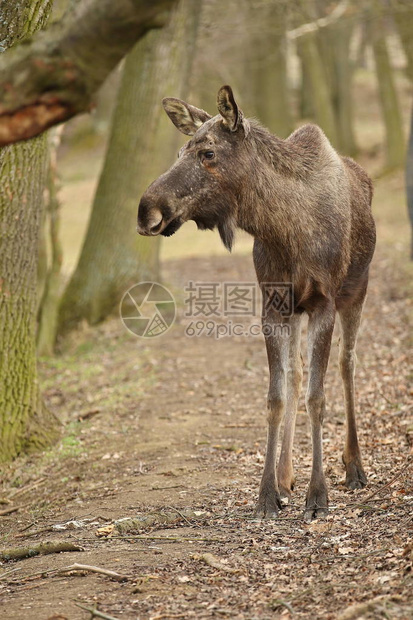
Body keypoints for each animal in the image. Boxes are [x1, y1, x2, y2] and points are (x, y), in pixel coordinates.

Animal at [137, 85, 374, 520]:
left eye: (208, 152)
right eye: (180, 151)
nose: (147, 210)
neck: (283, 229)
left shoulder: (324, 302)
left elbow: (318, 397)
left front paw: (318, 496)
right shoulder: (274, 306)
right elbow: (276, 397)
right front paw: (267, 494)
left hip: (356, 290)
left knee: (347, 364)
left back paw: (354, 467)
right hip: (298, 311)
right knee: (296, 374)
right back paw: (285, 475)